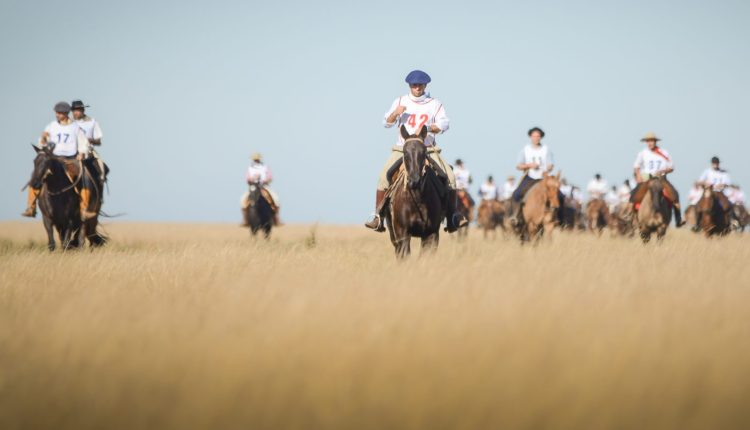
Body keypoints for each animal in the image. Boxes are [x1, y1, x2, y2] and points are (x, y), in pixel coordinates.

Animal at [388, 125, 446, 258]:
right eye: (405, 152)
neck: (417, 200)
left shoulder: (431, 234)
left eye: (424, 152)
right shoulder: (402, 233)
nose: (414, 181)